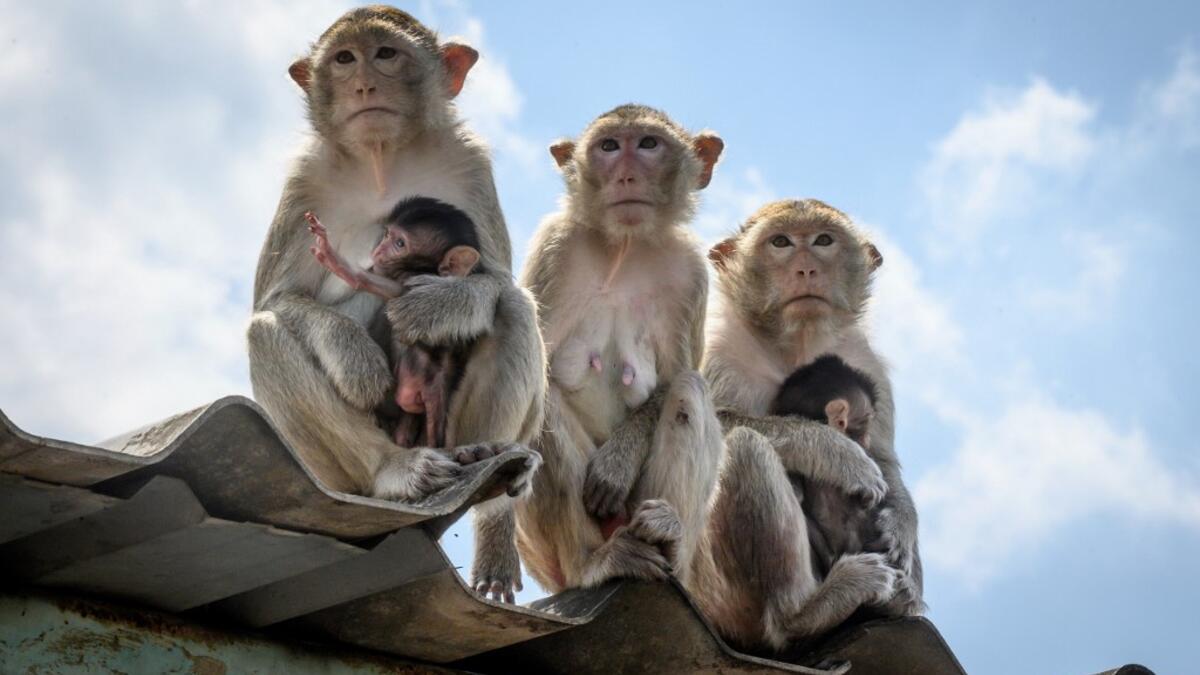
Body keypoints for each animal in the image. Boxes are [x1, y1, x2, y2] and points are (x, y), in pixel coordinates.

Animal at [306, 196, 486, 451]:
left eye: (400, 243)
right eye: (387, 235)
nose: (378, 250)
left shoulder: (410, 281)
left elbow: (377, 285)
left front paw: (336, 260)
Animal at [691, 198, 922, 651]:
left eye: (823, 241)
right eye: (780, 242)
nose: (806, 270)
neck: (795, 346)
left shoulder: (866, 363)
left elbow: (884, 459)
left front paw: (900, 526)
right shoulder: (717, 347)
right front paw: (836, 455)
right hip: (716, 594)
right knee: (744, 447)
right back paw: (802, 613)